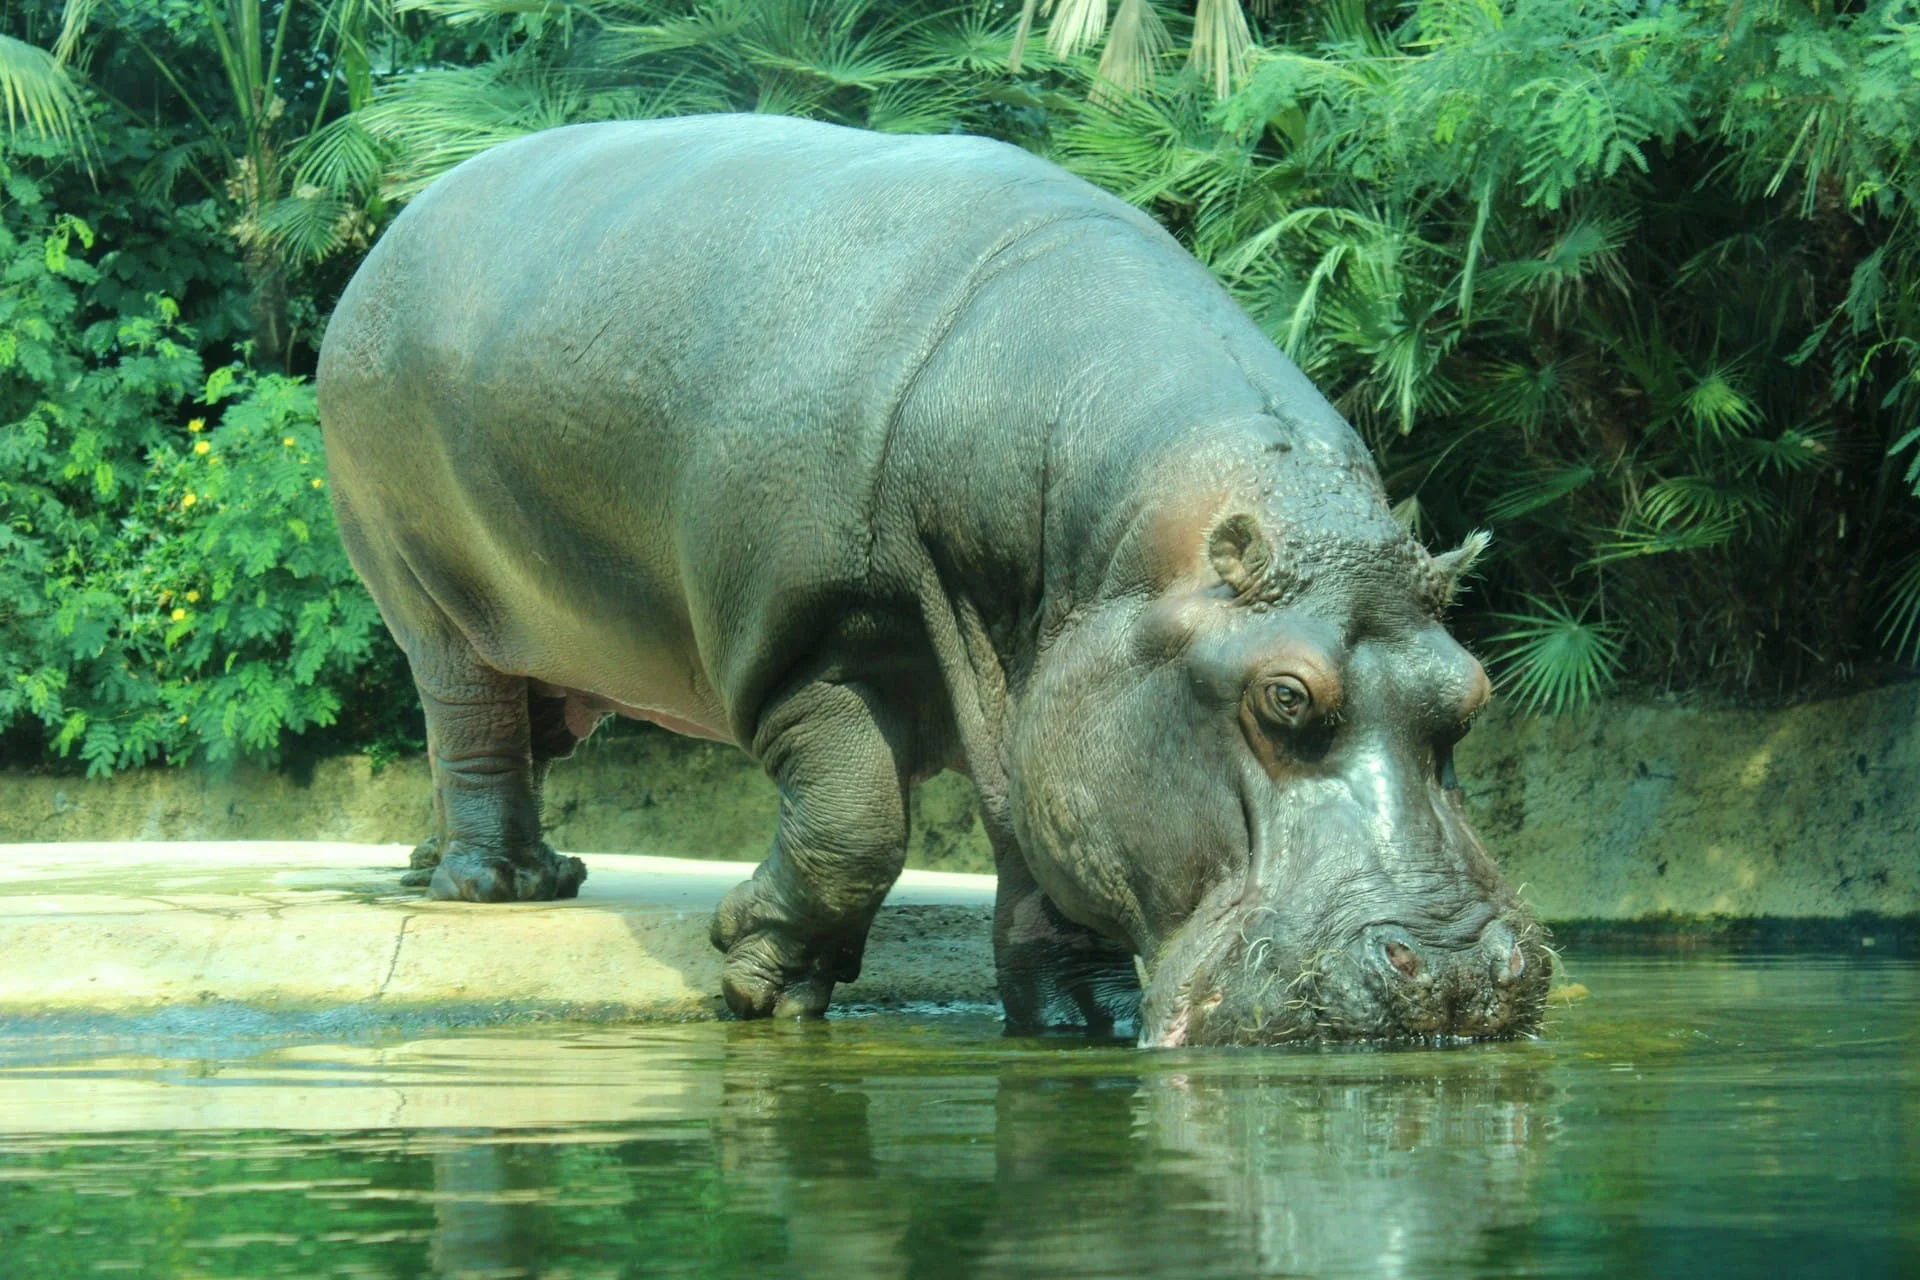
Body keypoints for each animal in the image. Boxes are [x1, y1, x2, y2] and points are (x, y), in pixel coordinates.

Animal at [317, 114, 1551, 1046]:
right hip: (425, 591)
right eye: (1283, 695)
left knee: (515, 735)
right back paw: (497, 886)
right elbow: (857, 825)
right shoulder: (809, 648)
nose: (1456, 973)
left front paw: (1082, 1019)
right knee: (470, 722)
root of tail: (396, 230)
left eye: (1475, 691)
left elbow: (1047, 863)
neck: (1116, 552)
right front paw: (759, 979)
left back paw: (451, 867)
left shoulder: (1036, 692)